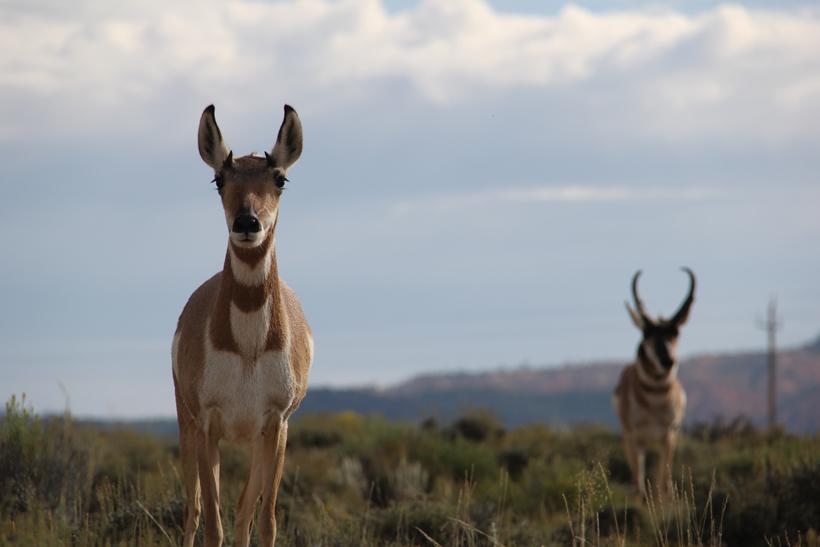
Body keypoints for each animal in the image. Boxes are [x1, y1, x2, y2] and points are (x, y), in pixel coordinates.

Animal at [172, 104, 312, 547]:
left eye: (280, 178)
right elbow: (211, 523)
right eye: (220, 178)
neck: (248, 349)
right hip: (188, 424)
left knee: (243, 512)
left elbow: (265, 520)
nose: (247, 222)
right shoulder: (207, 424)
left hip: (253, 441)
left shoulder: (277, 425)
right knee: (194, 512)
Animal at [613, 268, 695, 497]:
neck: (654, 403)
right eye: (646, 332)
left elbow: (663, 485)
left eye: (675, 332)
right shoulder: (634, 439)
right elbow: (639, 484)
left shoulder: (669, 438)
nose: (667, 361)